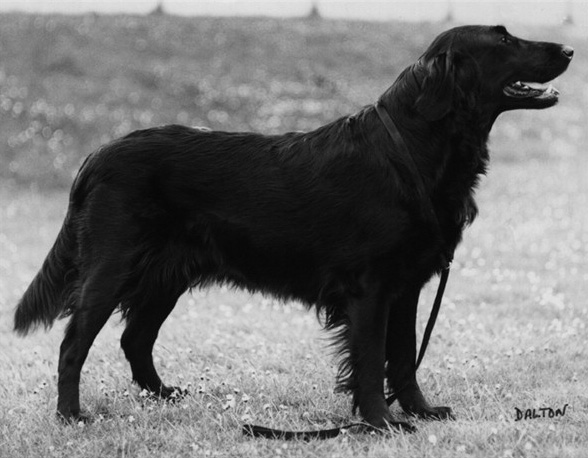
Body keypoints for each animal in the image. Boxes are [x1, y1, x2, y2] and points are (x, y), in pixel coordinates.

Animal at [13, 26, 572, 430]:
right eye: (504, 41)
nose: (569, 48)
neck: (412, 150)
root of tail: (96, 155)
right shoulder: (370, 288)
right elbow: (372, 361)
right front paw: (381, 423)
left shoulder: (407, 286)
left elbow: (404, 358)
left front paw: (420, 411)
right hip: (112, 268)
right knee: (74, 343)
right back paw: (71, 417)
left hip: (165, 276)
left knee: (135, 339)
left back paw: (168, 397)